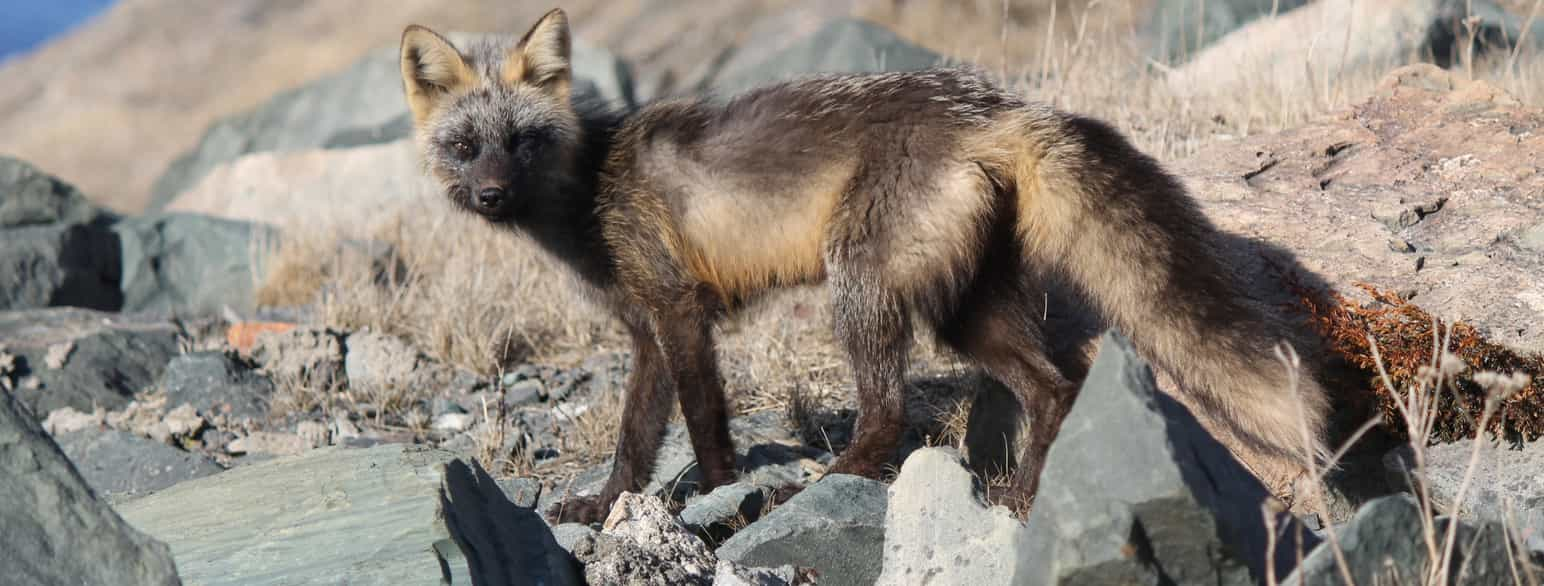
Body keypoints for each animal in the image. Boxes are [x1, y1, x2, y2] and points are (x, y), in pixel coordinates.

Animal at [398, 7, 1340, 521]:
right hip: (966, 313)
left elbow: (702, 423)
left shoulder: (678, 311)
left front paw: (718, 493)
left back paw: (830, 482)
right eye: (465, 146)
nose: (489, 194)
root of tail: (995, 105)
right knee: (1054, 388)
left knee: (887, 413)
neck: (593, 183)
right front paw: (605, 507)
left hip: (862, 290)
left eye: (523, 140)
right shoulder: (643, 332)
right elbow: (635, 438)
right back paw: (1022, 496)